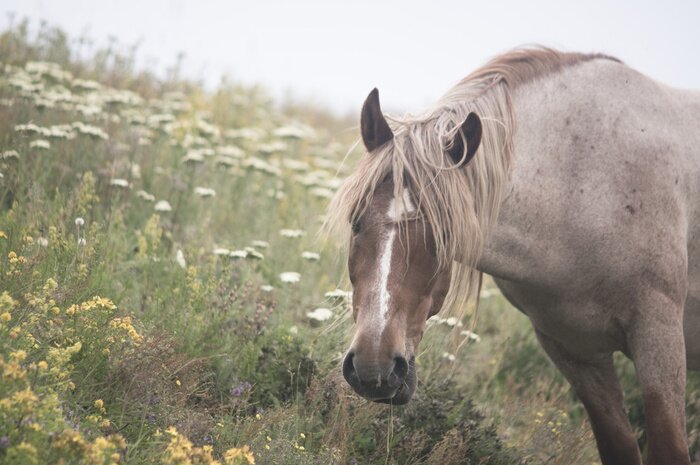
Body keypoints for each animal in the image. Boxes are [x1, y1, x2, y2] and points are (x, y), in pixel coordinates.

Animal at [325, 48, 700, 465]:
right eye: (356, 223)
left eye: (445, 236)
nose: (373, 369)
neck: (584, 186)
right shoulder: (575, 351)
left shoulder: (658, 335)